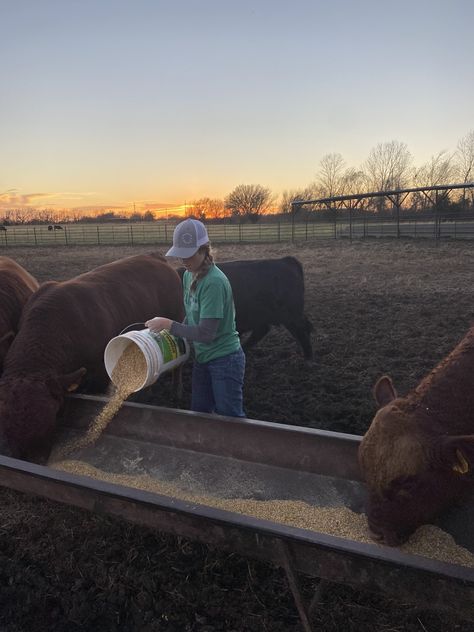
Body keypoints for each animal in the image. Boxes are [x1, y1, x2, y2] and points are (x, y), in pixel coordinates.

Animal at [0, 254, 184, 462]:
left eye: (50, 416)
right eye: (5, 424)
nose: (32, 461)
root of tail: (154, 257)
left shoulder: (99, 375)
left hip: (177, 317)